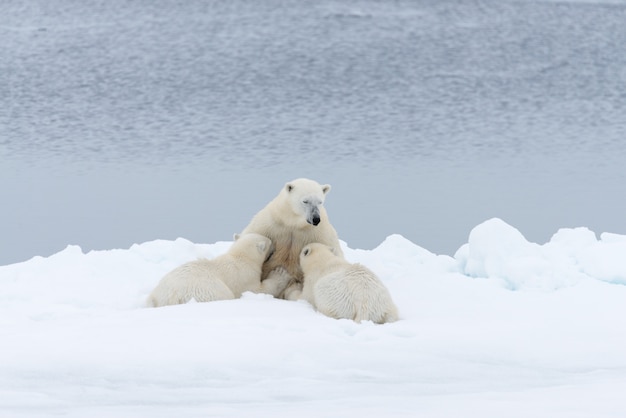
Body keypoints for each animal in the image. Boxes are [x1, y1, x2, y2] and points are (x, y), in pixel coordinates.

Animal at [147, 235, 292, 306]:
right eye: (270, 242)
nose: (275, 244)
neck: (240, 257)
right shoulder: (245, 275)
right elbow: (258, 290)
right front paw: (280, 273)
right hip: (205, 290)